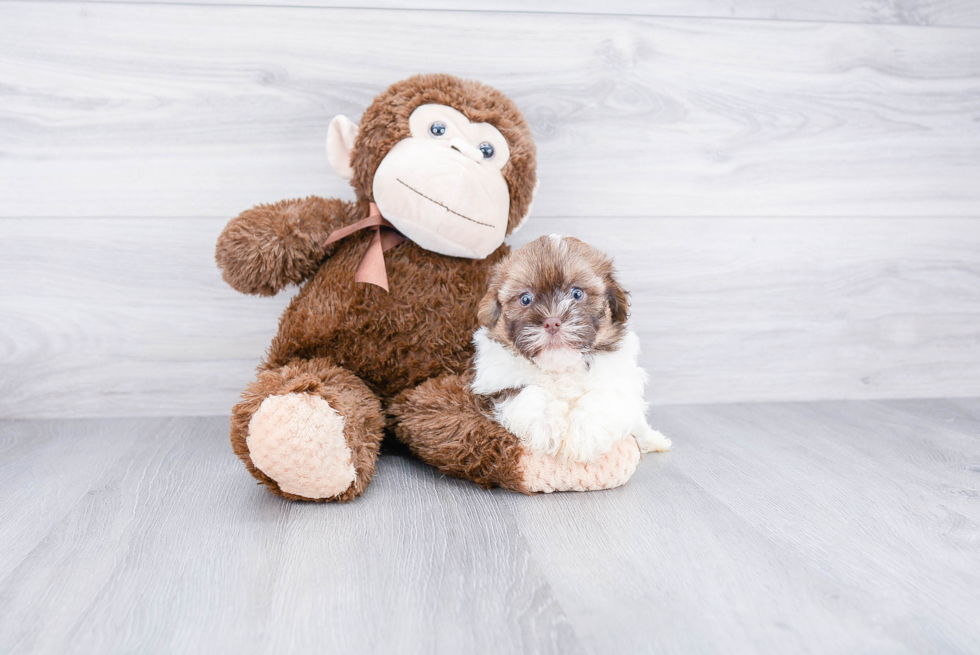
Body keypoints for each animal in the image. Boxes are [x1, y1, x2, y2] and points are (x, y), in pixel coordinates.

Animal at [468, 233, 668, 464]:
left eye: (577, 294)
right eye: (525, 299)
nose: (552, 322)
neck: (560, 367)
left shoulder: (618, 383)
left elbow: (598, 398)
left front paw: (581, 438)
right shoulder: (493, 387)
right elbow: (525, 392)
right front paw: (550, 426)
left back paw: (653, 440)